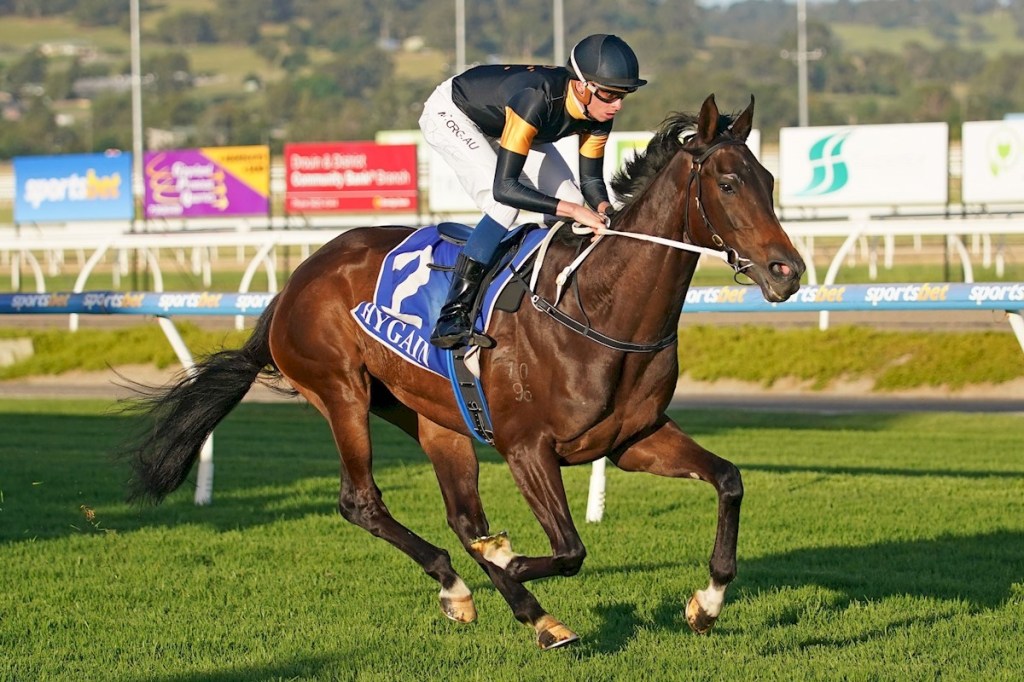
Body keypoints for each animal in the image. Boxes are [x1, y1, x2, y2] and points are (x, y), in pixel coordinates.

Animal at [122, 94, 805, 649]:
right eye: (726, 183)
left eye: (769, 178)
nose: (787, 271)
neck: (599, 304)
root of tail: (297, 279)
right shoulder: (528, 447)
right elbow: (568, 549)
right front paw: (510, 562)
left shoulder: (632, 439)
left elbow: (729, 481)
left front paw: (707, 604)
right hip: (341, 392)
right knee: (361, 501)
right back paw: (469, 589)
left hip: (433, 416)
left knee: (460, 516)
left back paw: (524, 608)